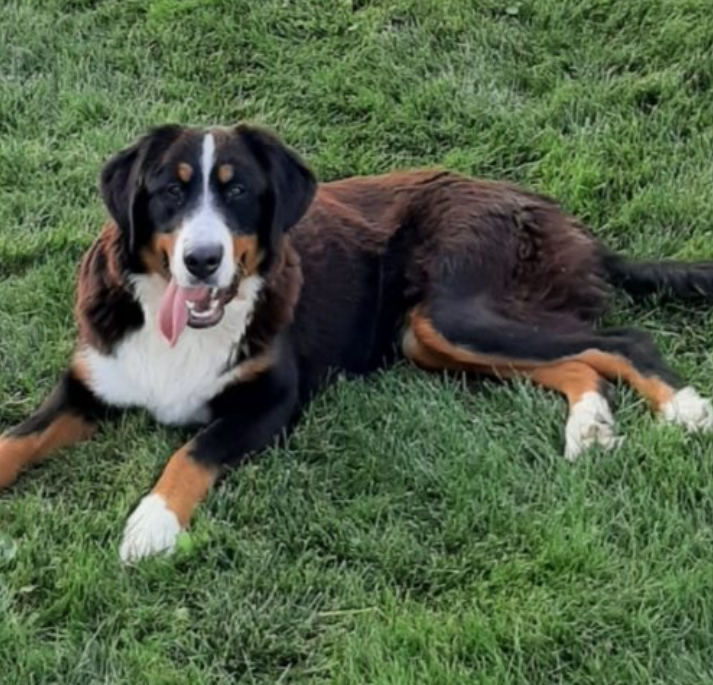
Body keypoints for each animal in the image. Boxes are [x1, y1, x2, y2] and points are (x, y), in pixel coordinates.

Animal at [1, 124, 712, 560]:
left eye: (238, 190)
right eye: (170, 190)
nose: (203, 261)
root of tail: (552, 212)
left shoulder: (271, 401)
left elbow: (191, 454)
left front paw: (151, 525)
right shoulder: (88, 381)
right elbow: (16, 438)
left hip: (452, 313)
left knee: (622, 338)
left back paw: (684, 408)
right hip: (428, 337)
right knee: (578, 362)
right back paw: (589, 426)